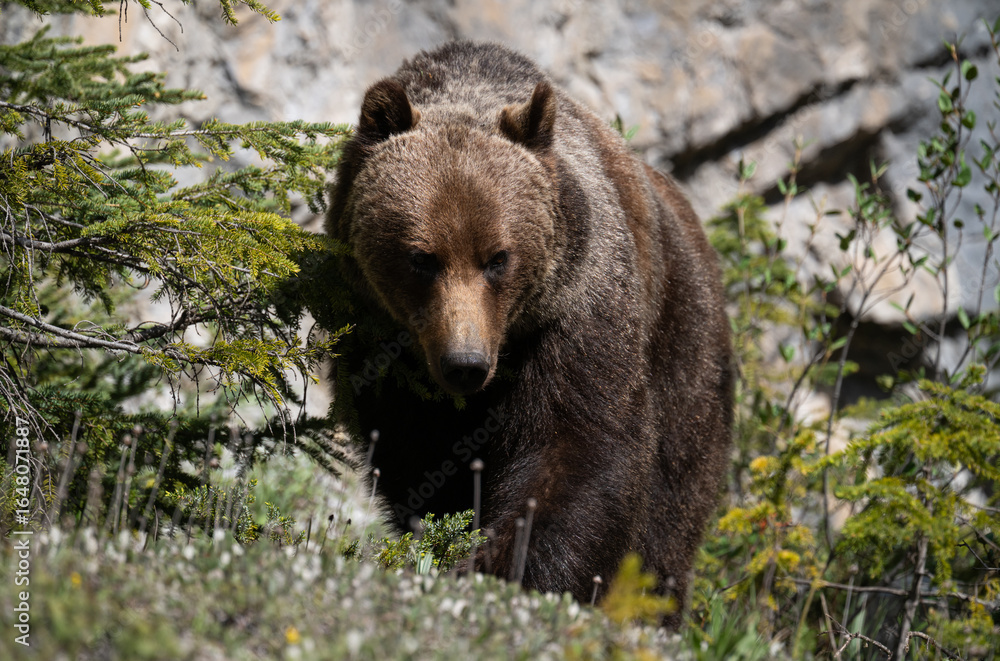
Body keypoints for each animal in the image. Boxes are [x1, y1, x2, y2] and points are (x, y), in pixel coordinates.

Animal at [325, 41, 732, 627]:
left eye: (498, 257)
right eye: (422, 258)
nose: (465, 364)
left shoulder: (577, 313)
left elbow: (577, 447)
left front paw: (509, 570)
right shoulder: (382, 354)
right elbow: (419, 471)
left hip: (685, 350)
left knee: (670, 510)